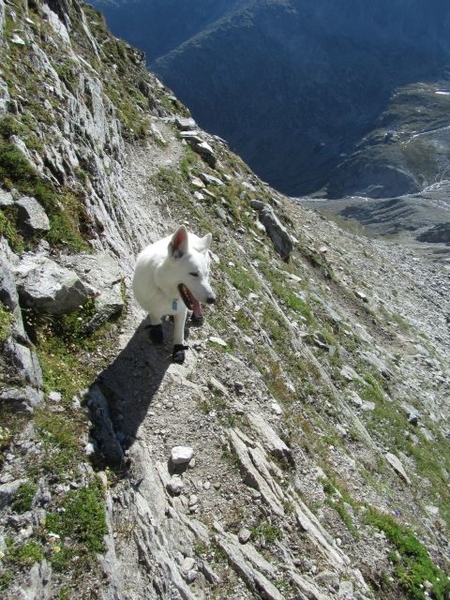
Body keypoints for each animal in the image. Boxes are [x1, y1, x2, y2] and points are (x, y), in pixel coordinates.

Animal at [132, 225, 216, 364]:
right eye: (193, 274)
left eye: (206, 274)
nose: (212, 299)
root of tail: (192, 235)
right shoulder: (151, 306)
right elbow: (155, 317)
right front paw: (157, 330)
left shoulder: (181, 311)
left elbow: (178, 333)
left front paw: (178, 349)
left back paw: (196, 316)